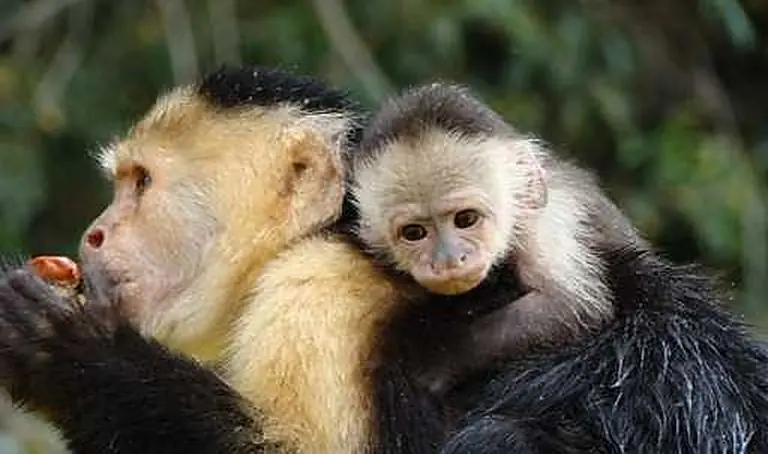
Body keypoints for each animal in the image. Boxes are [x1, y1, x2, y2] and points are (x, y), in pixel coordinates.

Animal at [348, 82, 644, 395]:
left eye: (466, 219)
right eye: (414, 233)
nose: (449, 260)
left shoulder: (549, 222)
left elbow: (571, 305)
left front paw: (438, 360)